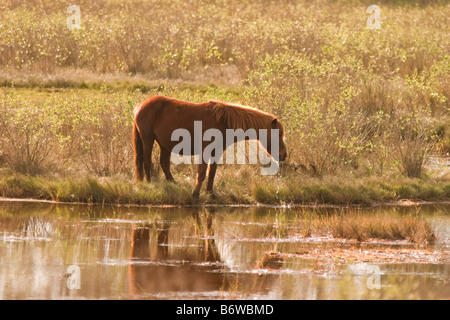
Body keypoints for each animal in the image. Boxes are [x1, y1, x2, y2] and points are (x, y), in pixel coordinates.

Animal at [132, 95, 286, 198]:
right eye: (278, 134)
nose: (284, 155)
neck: (224, 121)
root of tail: (140, 106)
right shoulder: (205, 152)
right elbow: (201, 173)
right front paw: (195, 194)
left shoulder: (216, 152)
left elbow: (211, 173)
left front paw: (210, 193)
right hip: (148, 140)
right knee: (147, 162)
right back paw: (149, 183)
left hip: (164, 144)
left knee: (164, 163)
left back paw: (174, 184)